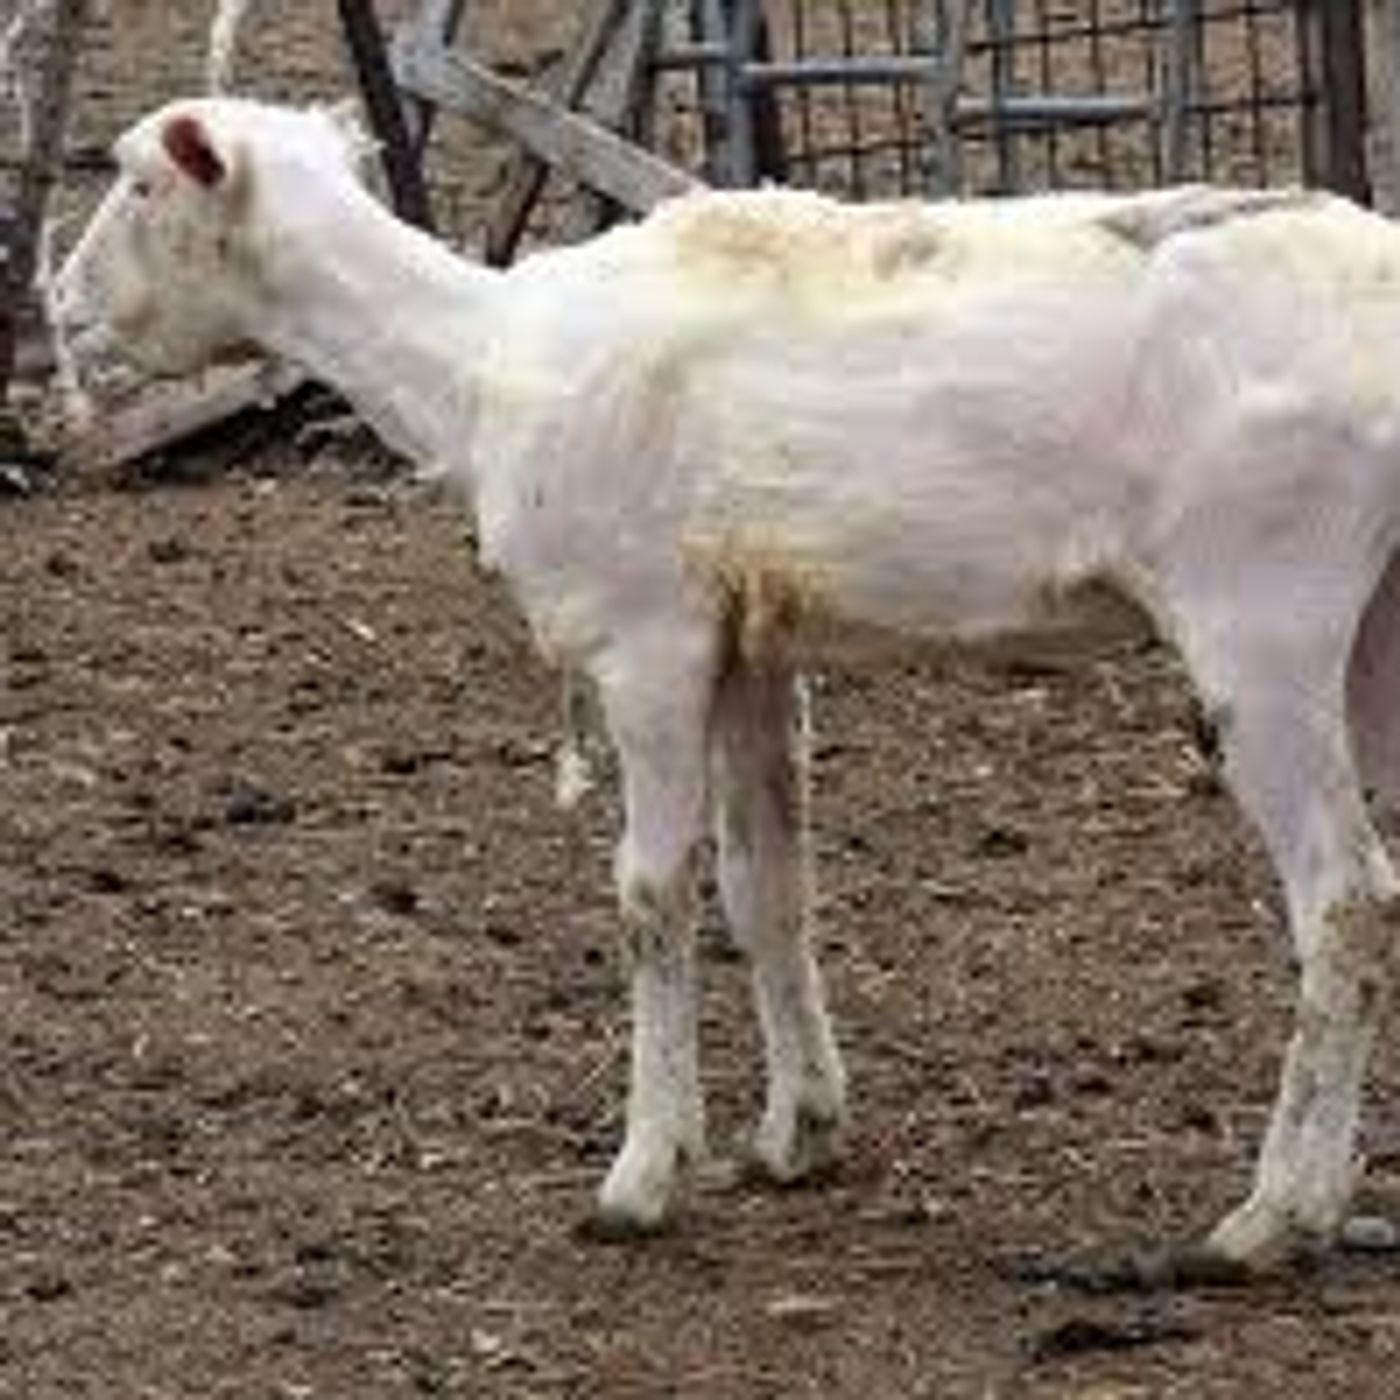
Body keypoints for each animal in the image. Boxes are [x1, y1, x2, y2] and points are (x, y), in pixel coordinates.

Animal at [52, 96, 1400, 1273]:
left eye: (135, 182)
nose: (58, 305)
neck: (473, 365)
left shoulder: (645, 635)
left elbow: (652, 893)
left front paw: (643, 1173)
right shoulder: (753, 645)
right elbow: (769, 887)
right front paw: (798, 1130)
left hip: (1261, 613)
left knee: (1342, 895)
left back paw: (1273, 1214)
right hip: (1371, 629)